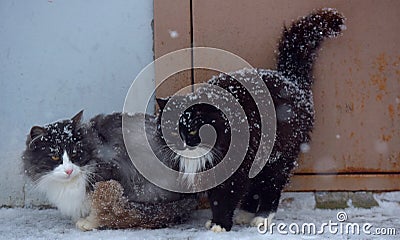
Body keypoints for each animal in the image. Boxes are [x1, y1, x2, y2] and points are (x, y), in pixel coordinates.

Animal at [155, 8, 344, 232]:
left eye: (192, 130)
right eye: (172, 131)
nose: (182, 143)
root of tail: (290, 79)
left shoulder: (234, 170)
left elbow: (224, 198)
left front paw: (220, 224)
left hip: (279, 158)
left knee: (271, 187)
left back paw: (263, 217)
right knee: (255, 186)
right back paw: (245, 214)